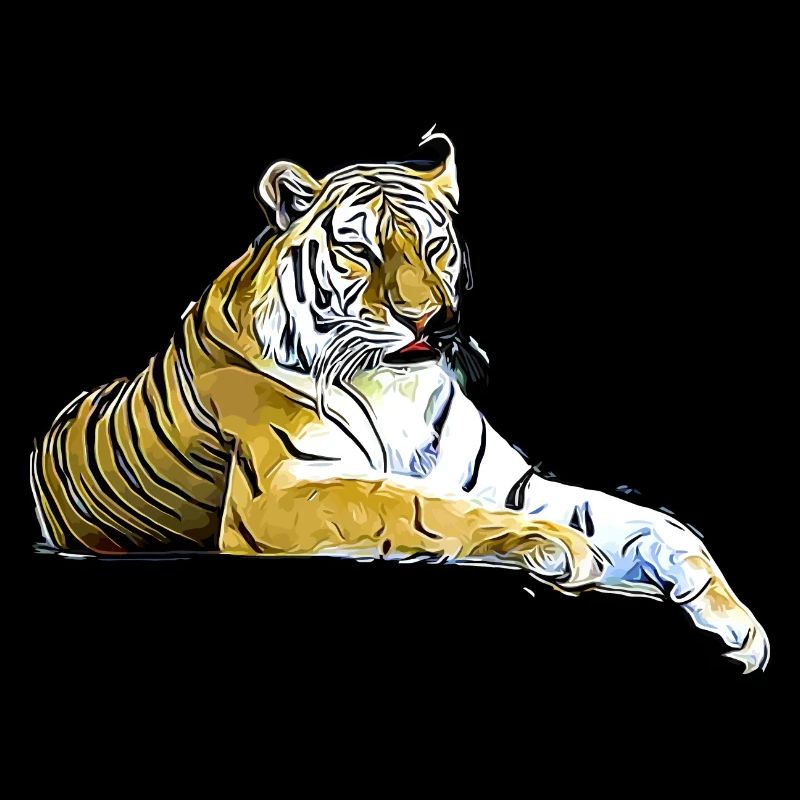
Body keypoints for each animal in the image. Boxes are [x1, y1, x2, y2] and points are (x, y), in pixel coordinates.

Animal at [30, 127, 769, 674]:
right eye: (359, 250)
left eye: (436, 246)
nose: (431, 322)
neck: (395, 387)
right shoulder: (282, 494)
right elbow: (416, 504)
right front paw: (555, 546)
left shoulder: (514, 483)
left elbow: (652, 522)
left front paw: (738, 623)